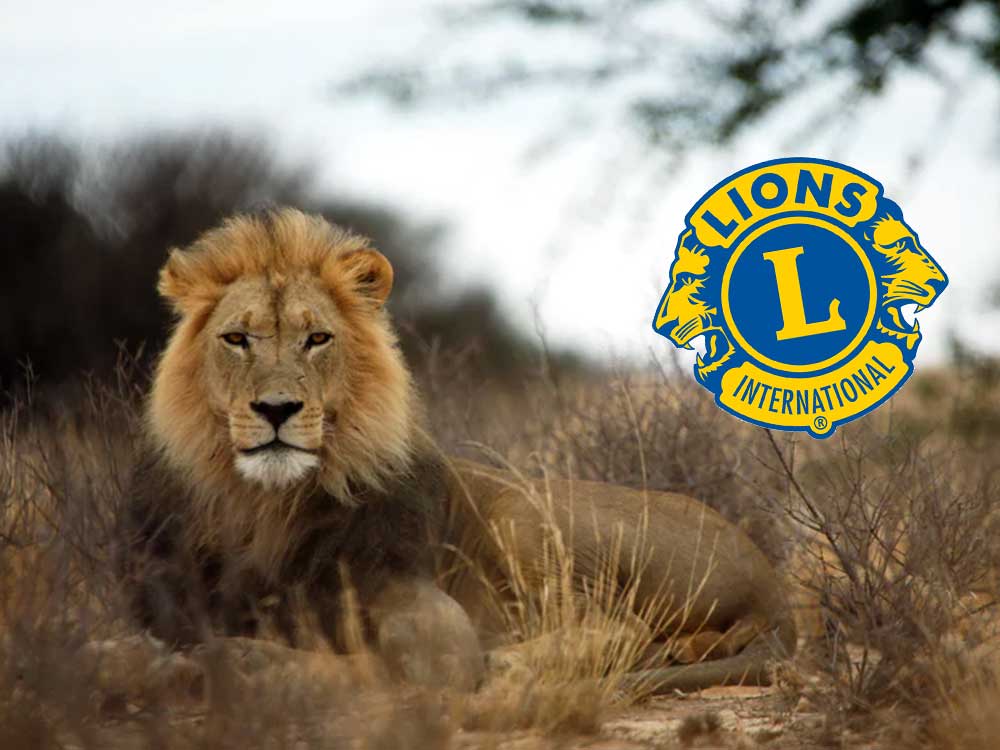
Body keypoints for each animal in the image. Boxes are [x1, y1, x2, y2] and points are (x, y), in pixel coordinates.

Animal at [121, 208, 796, 694]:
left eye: (317, 339)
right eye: (237, 339)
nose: (276, 408)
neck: (269, 506)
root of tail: (771, 581)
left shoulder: (425, 613)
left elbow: (403, 668)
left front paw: (242, 662)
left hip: (522, 516)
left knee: (619, 625)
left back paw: (518, 665)